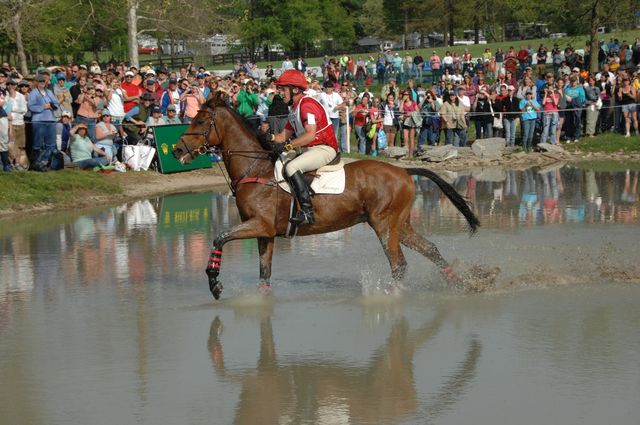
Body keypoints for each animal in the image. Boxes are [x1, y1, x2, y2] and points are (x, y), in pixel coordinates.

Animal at [172, 95, 478, 298]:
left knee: (399, 264)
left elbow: (219, 238)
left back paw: (393, 296)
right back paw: (464, 283)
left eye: (200, 120)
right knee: (430, 249)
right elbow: (264, 274)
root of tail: (403, 171)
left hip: (384, 224)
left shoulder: (259, 225)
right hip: (399, 225)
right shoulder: (265, 233)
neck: (255, 169)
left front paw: (214, 283)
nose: (176, 150)